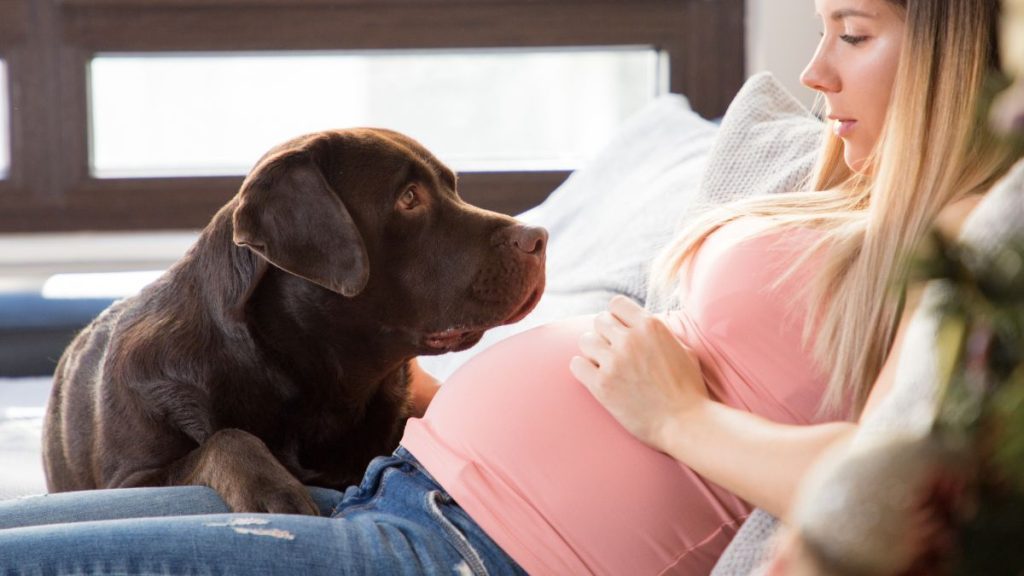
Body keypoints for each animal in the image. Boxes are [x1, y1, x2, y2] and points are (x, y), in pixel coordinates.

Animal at [44, 129, 548, 510]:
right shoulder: (132, 478)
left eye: (453, 187)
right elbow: (226, 440)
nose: (538, 237)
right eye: (409, 198)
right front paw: (273, 490)